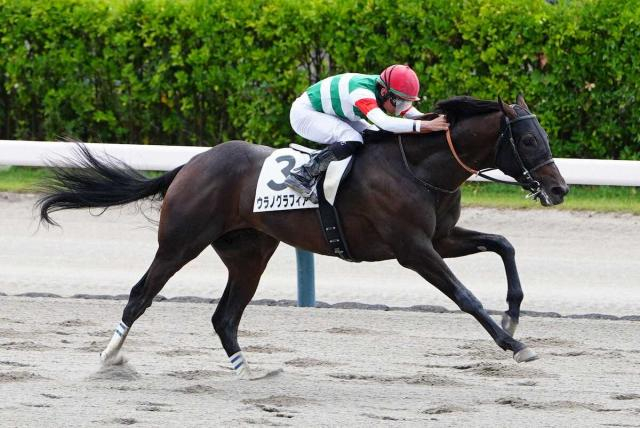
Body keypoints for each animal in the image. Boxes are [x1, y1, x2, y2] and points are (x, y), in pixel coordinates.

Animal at [37, 95, 569, 379]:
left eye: (542, 136)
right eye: (527, 140)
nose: (559, 189)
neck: (419, 168)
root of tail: (191, 164)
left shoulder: (442, 238)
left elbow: (503, 244)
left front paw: (515, 311)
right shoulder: (413, 250)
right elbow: (465, 297)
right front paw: (514, 343)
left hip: (249, 253)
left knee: (224, 316)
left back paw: (248, 372)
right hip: (180, 242)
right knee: (140, 294)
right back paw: (108, 357)